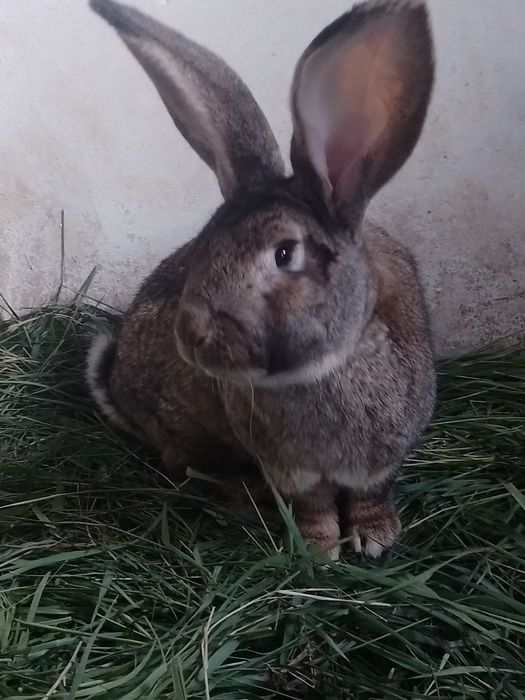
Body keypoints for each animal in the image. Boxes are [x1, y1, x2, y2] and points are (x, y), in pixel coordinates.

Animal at [87, 0, 436, 559]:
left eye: (285, 253)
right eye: (204, 242)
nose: (191, 334)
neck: (323, 369)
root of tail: (116, 383)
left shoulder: (382, 459)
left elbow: (371, 495)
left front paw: (375, 537)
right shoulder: (291, 469)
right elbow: (313, 504)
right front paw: (319, 549)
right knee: (184, 466)